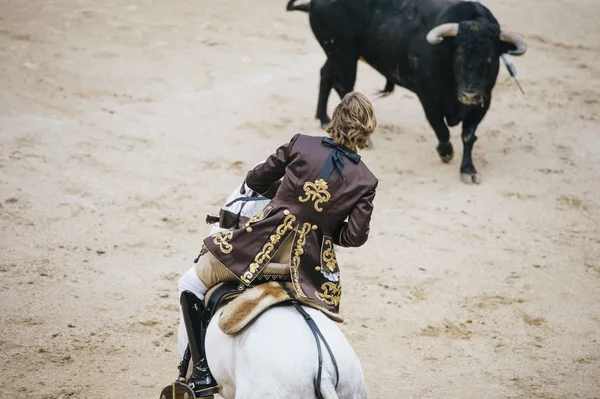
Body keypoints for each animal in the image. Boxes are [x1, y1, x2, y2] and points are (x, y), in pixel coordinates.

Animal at [288, 0, 528, 184]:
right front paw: (446, 152)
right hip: (344, 55)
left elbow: (468, 135)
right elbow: (441, 129)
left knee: (326, 74)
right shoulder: (428, 98)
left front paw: (468, 170)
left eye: (490, 57)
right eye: (459, 52)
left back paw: (323, 117)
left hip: (338, 55)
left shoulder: (483, 101)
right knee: (343, 86)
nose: (469, 94)